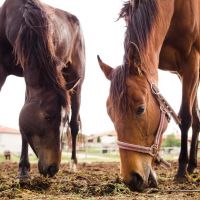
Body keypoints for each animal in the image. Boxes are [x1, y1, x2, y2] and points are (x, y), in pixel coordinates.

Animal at [0, 0, 85, 178]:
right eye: (47, 117)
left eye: (63, 120)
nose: (53, 169)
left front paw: (24, 169)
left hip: (77, 84)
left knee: (75, 126)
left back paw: (73, 164)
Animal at [97, 0, 199, 191]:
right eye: (110, 114)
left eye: (141, 109)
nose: (131, 179)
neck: (176, 7)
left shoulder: (192, 63)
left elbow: (184, 117)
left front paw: (181, 172)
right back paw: (192, 166)